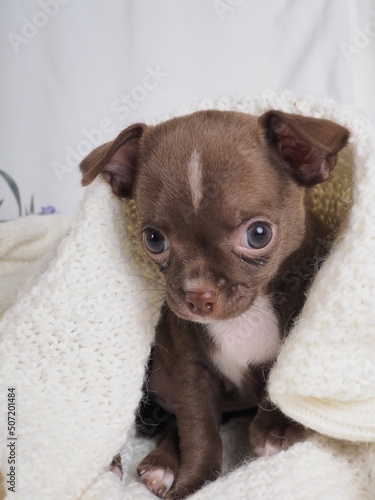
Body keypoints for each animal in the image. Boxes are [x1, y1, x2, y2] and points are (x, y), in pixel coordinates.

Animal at [81, 108, 352, 496]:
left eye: (258, 234)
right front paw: (193, 485)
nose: (198, 294)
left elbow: (284, 379)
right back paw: (148, 463)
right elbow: (200, 434)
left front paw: (278, 426)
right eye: (153, 239)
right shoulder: (193, 373)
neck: (245, 316)